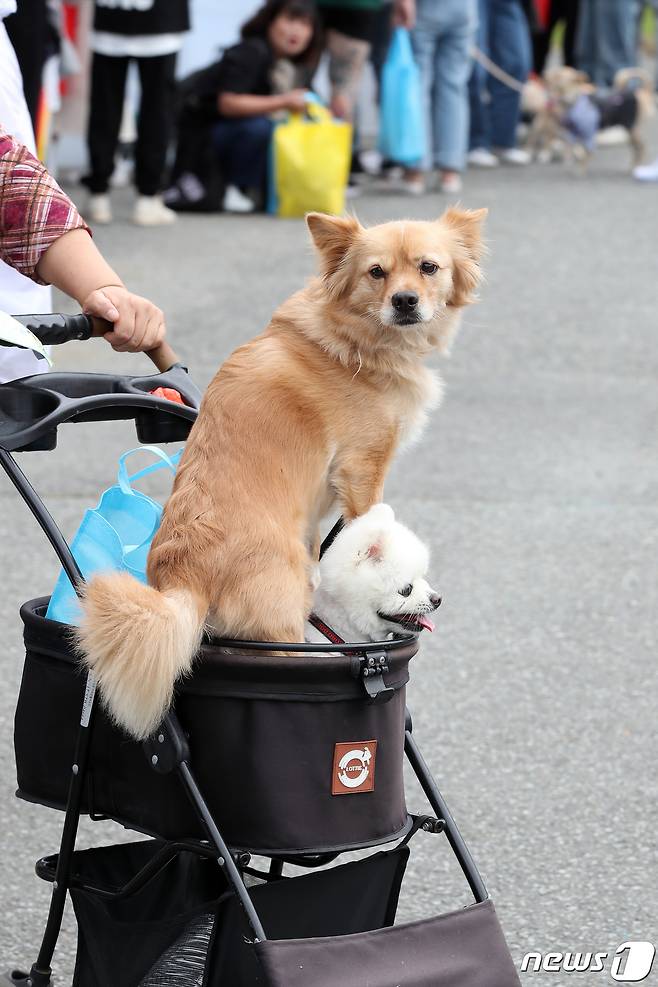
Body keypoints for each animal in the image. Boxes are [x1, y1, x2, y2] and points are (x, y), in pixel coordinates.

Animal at [524, 66, 652, 171]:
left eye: (559, 79)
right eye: (553, 82)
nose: (545, 74)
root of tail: (638, 93)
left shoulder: (586, 133)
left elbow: (584, 152)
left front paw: (580, 168)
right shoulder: (573, 133)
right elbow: (573, 148)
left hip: (631, 128)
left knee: (641, 147)